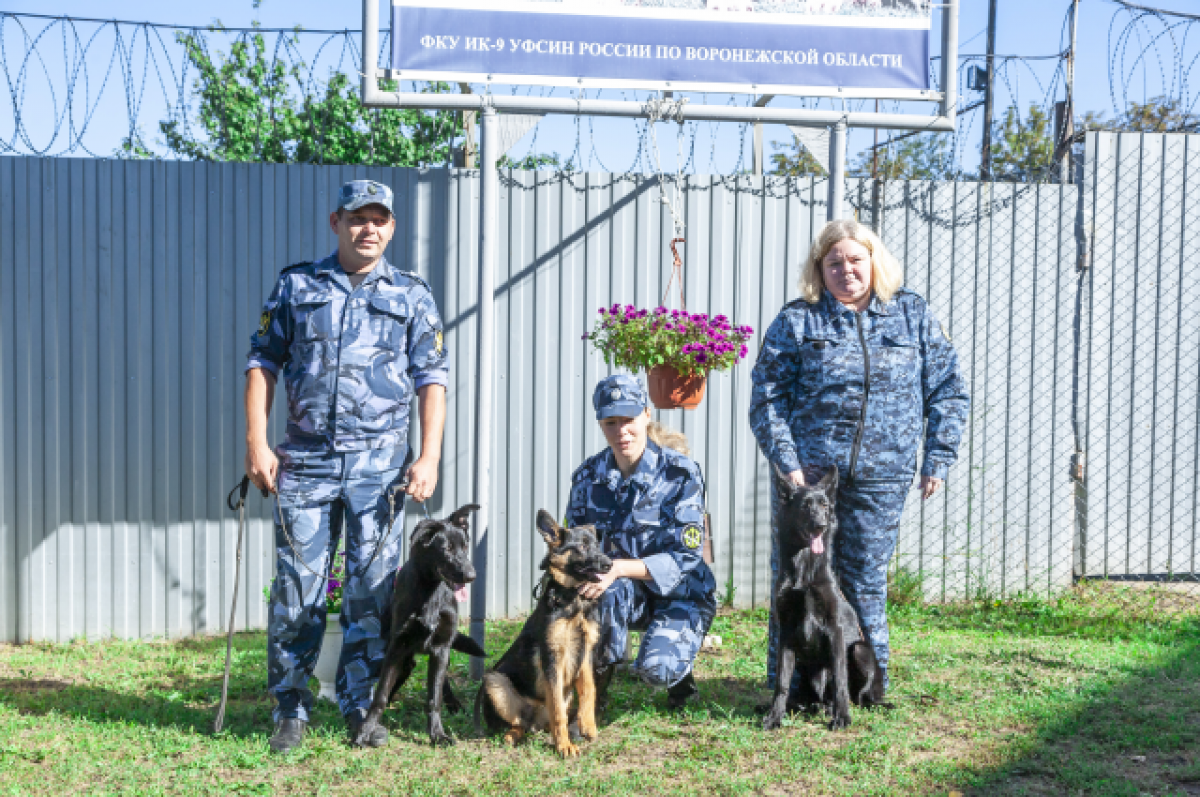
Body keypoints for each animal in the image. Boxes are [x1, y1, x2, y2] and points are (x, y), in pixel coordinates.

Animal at [350, 504, 487, 748]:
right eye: (447, 548)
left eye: (465, 546)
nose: (471, 576)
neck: (431, 592)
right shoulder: (396, 648)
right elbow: (380, 695)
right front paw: (366, 730)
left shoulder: (441, 648)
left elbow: (434, 697)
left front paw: (437, 734)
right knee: (401, 674)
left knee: (442, 682)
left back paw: (453, 704)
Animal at [472, 511, 614, 758]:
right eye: (582, 546)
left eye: (597, 545)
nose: (610, 564)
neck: (573, 598)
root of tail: (534, 720)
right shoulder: (553, 658)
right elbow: (557, 709)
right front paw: (564, 745)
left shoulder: (585, 654)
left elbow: (589, 690)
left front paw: (587, 725)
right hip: (494, 680)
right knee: (519, 722)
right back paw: (515, 735)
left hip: (564, 693)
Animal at [763, 468, 888, 734]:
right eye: (805, 506)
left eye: (825, 506)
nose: (820, 526)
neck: (804, 570)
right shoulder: (786, 633)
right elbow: (781, 681)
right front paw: (774, 716)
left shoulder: (835, 630)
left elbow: (840, 680)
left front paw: (843, 717)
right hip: (807, 668)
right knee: (814, 697)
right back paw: (807, 706)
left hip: (859, 649)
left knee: (858, 695)